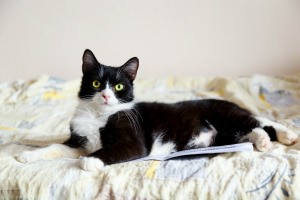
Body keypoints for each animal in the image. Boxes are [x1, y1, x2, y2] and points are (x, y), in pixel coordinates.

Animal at [15, 49, 298, 172]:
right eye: (96, 83)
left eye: (119, 86)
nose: (106, 95)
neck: (98, 115)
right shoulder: (79, 140)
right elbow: (57, 147)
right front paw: (27, 156)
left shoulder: (134, 140)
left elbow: (112, 150)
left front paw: (91, 162)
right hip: (225, 134)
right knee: (247, 131)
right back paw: (261, 141)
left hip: (223, 113)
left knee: (258, 119)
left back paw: (285, 135)